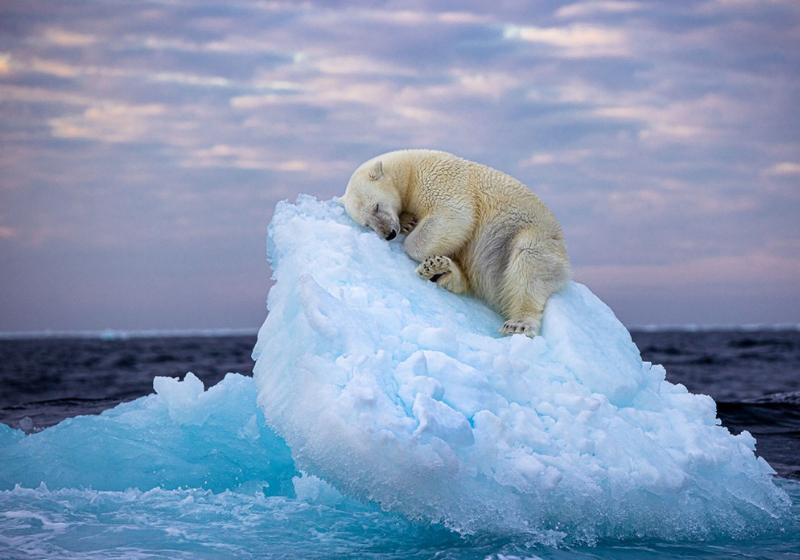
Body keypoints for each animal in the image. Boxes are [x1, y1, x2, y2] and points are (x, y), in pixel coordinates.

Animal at [340, 149, 572, 336]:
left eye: (376, 206)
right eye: (367, 223)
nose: (389, 233)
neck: (410, 169)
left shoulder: (439, 180)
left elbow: (455, 215)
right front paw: (408, 222)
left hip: (531, 235)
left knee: (528, 265)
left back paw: (519, 323)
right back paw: (439, 269)